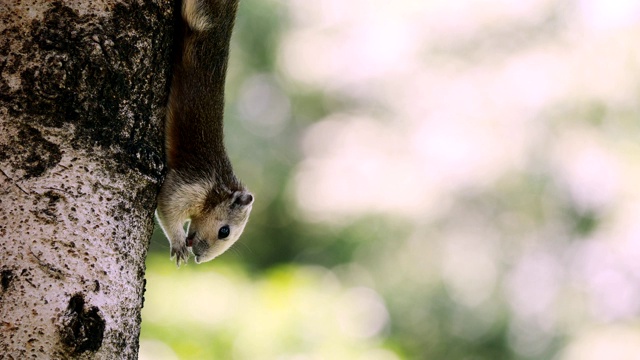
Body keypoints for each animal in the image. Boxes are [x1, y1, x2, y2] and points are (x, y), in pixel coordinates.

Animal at [156, 0, 254, 266]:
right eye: (224, 231)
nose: (199, 258)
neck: (218, 190)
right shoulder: (192, 186)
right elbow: (167, 205)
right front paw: (178, 244)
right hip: (201, 14)